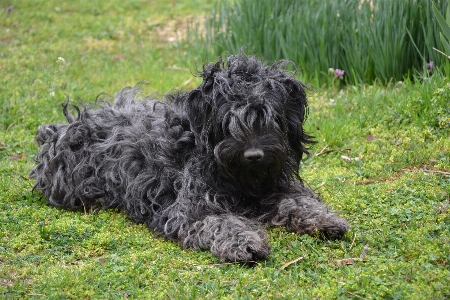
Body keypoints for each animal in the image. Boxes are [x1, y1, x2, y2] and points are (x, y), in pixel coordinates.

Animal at [29, 55, 350, 262]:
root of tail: (61, 128)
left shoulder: (275, 186)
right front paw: (244, 241)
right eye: (228, 121)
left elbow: (297, 202)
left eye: (270, 117)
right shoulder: (187, 210)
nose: (254, 155)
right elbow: (220, 222)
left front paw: (325, 219)